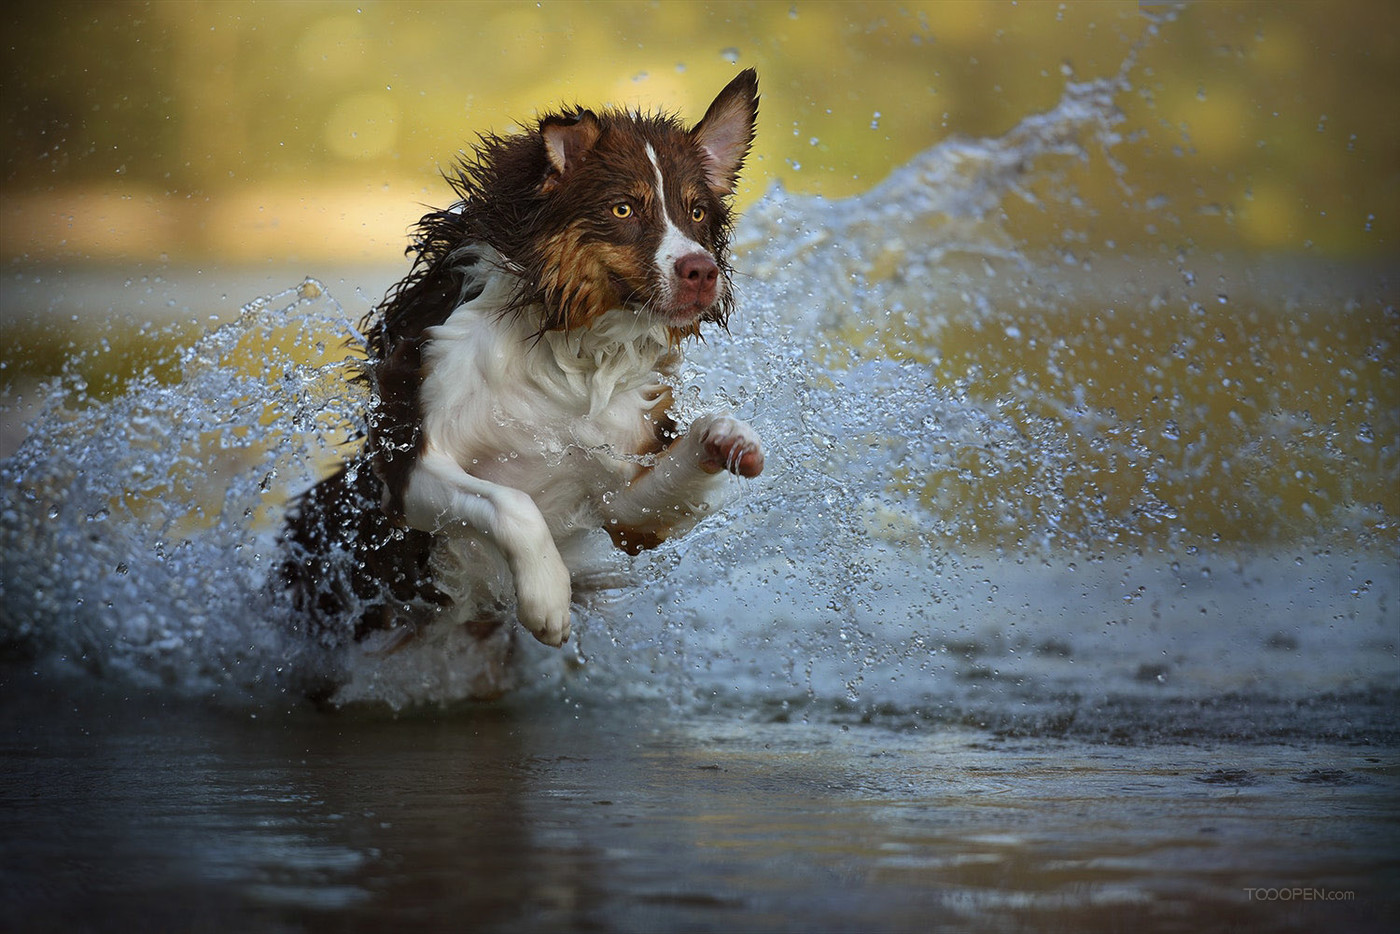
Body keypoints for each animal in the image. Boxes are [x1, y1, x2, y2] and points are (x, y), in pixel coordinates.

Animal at [277, 69, 761, 697]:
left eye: (698, 214)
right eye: (623, 208)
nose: (702, 270)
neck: (563, 351)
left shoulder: (624, 504)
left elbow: (672, 468)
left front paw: (729, 438)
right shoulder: (408, 469)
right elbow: (512, 504)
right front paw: (547, 598)